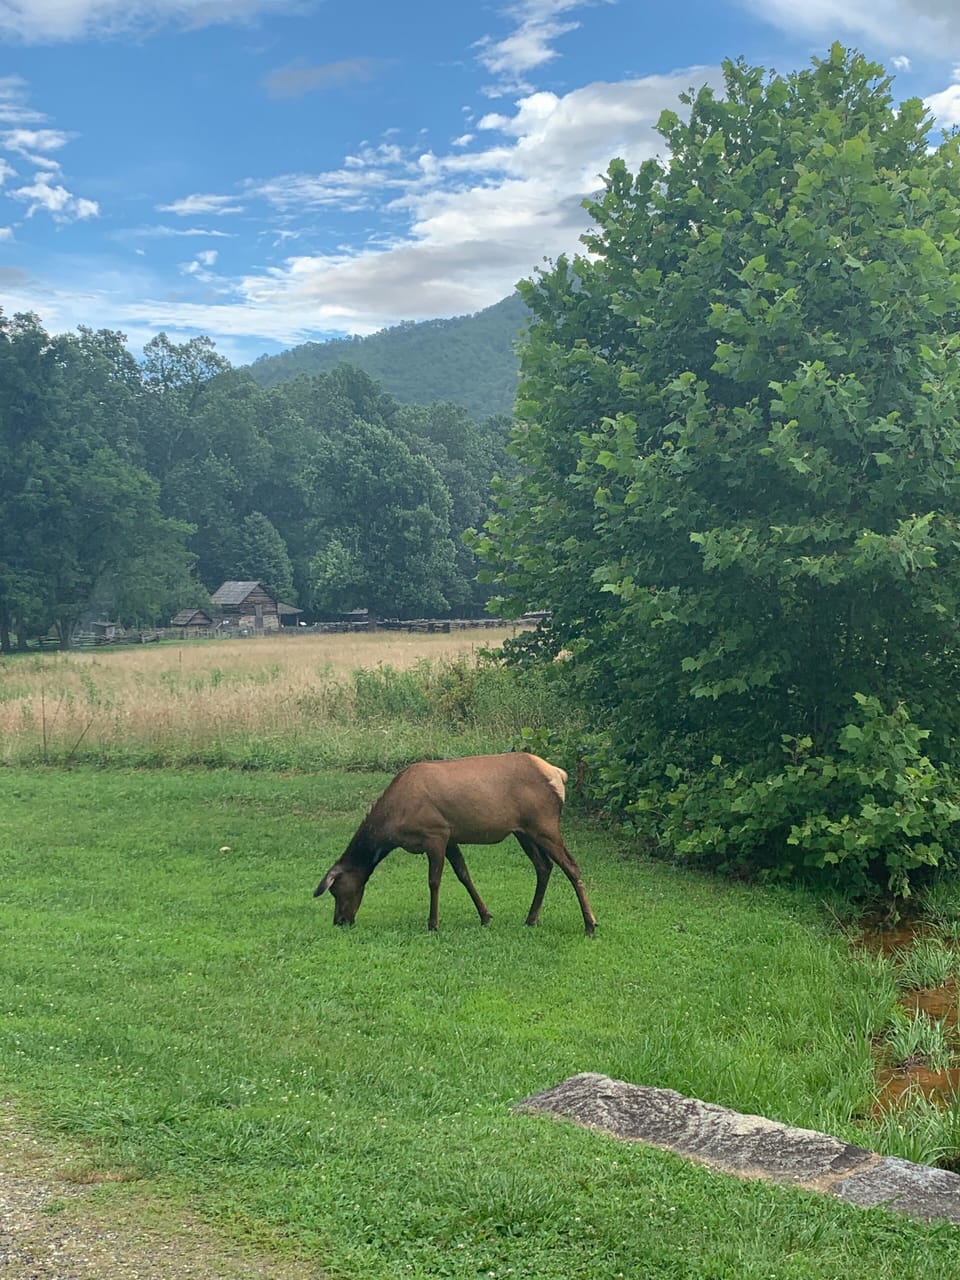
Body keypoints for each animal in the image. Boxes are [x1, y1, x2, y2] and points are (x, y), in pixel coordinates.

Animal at [314, 752, 597, 935]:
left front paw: (433, 924)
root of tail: (559, 774)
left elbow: (434, 881)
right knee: (544, 866)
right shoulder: (451, 837)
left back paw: (590, 924)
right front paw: (485, 916)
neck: (391, 828)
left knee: (571, 866)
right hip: (524, 832)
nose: (340, 921)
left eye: (336, 890)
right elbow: (463, 874)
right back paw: (531, 918)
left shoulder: (435, 833)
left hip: (544, 825)